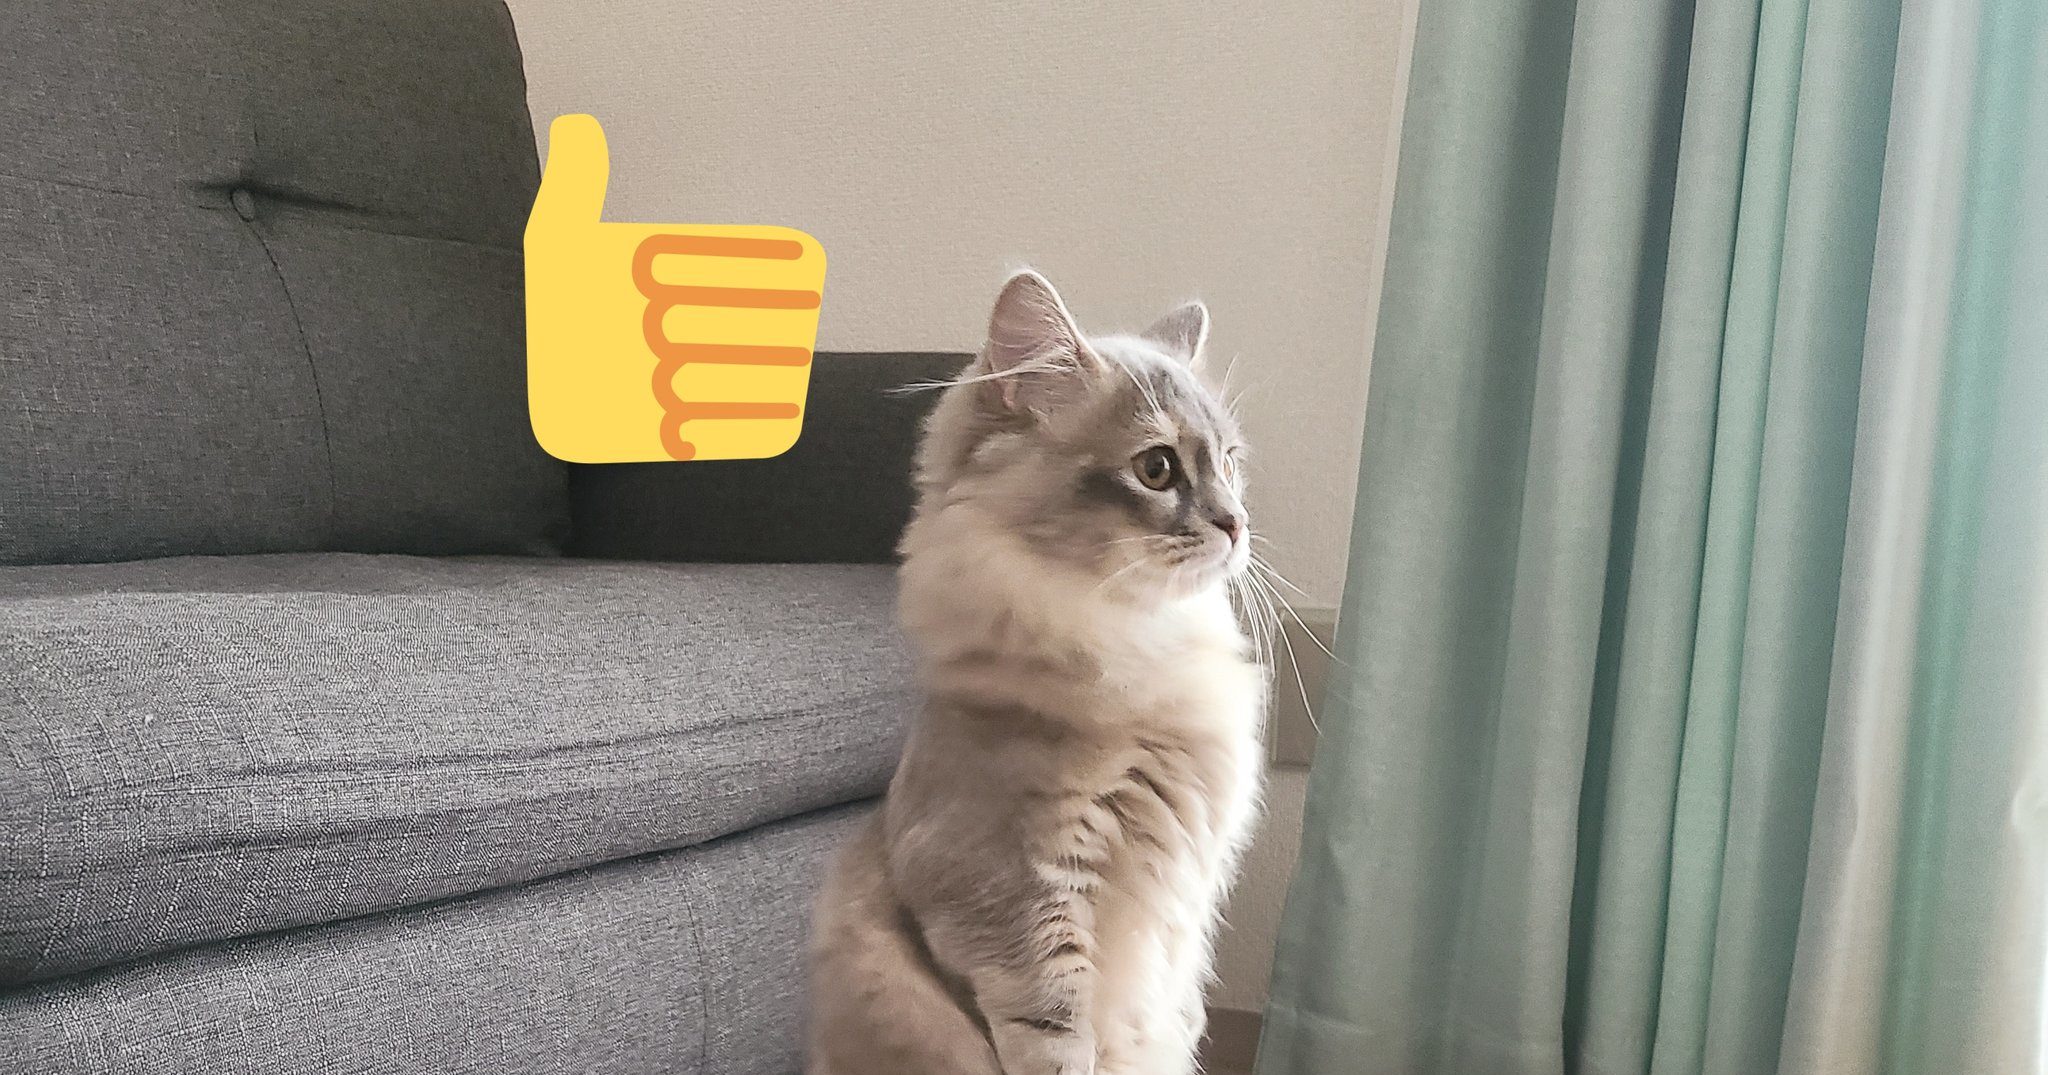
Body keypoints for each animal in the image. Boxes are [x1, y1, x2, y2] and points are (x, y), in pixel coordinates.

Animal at [805, 270, 1268, 1075]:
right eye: (1156, 469)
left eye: (1231, 463)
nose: (1236, 524)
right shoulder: (1014, 895)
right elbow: (1057, 1037)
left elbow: (1175, 1028)